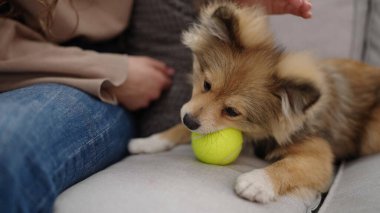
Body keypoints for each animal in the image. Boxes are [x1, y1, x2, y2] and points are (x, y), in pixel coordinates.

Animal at [129, 1, 380, 204]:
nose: (189, 120)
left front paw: (257, 182)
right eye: (207, 85)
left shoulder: (318, 154)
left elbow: (290, 165)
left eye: (231, 111)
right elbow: (176, 130)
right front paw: (147, 142)